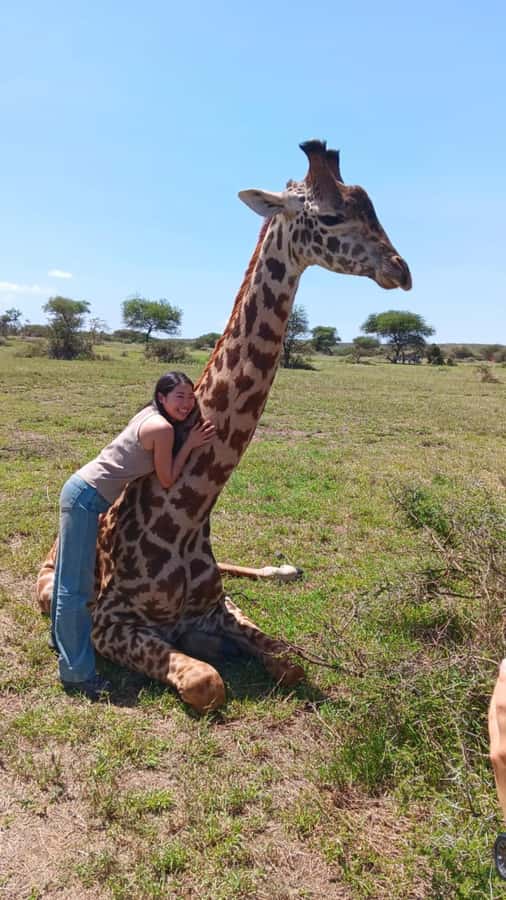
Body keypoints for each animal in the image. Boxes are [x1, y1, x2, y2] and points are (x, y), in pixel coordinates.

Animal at [36, 139, 412, 712]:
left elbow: (289, 661)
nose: (401, 269)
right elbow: (206, 682)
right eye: (330, 215)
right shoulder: (109, 623)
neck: (190, 520)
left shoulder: (218, 609)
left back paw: (284, 569)